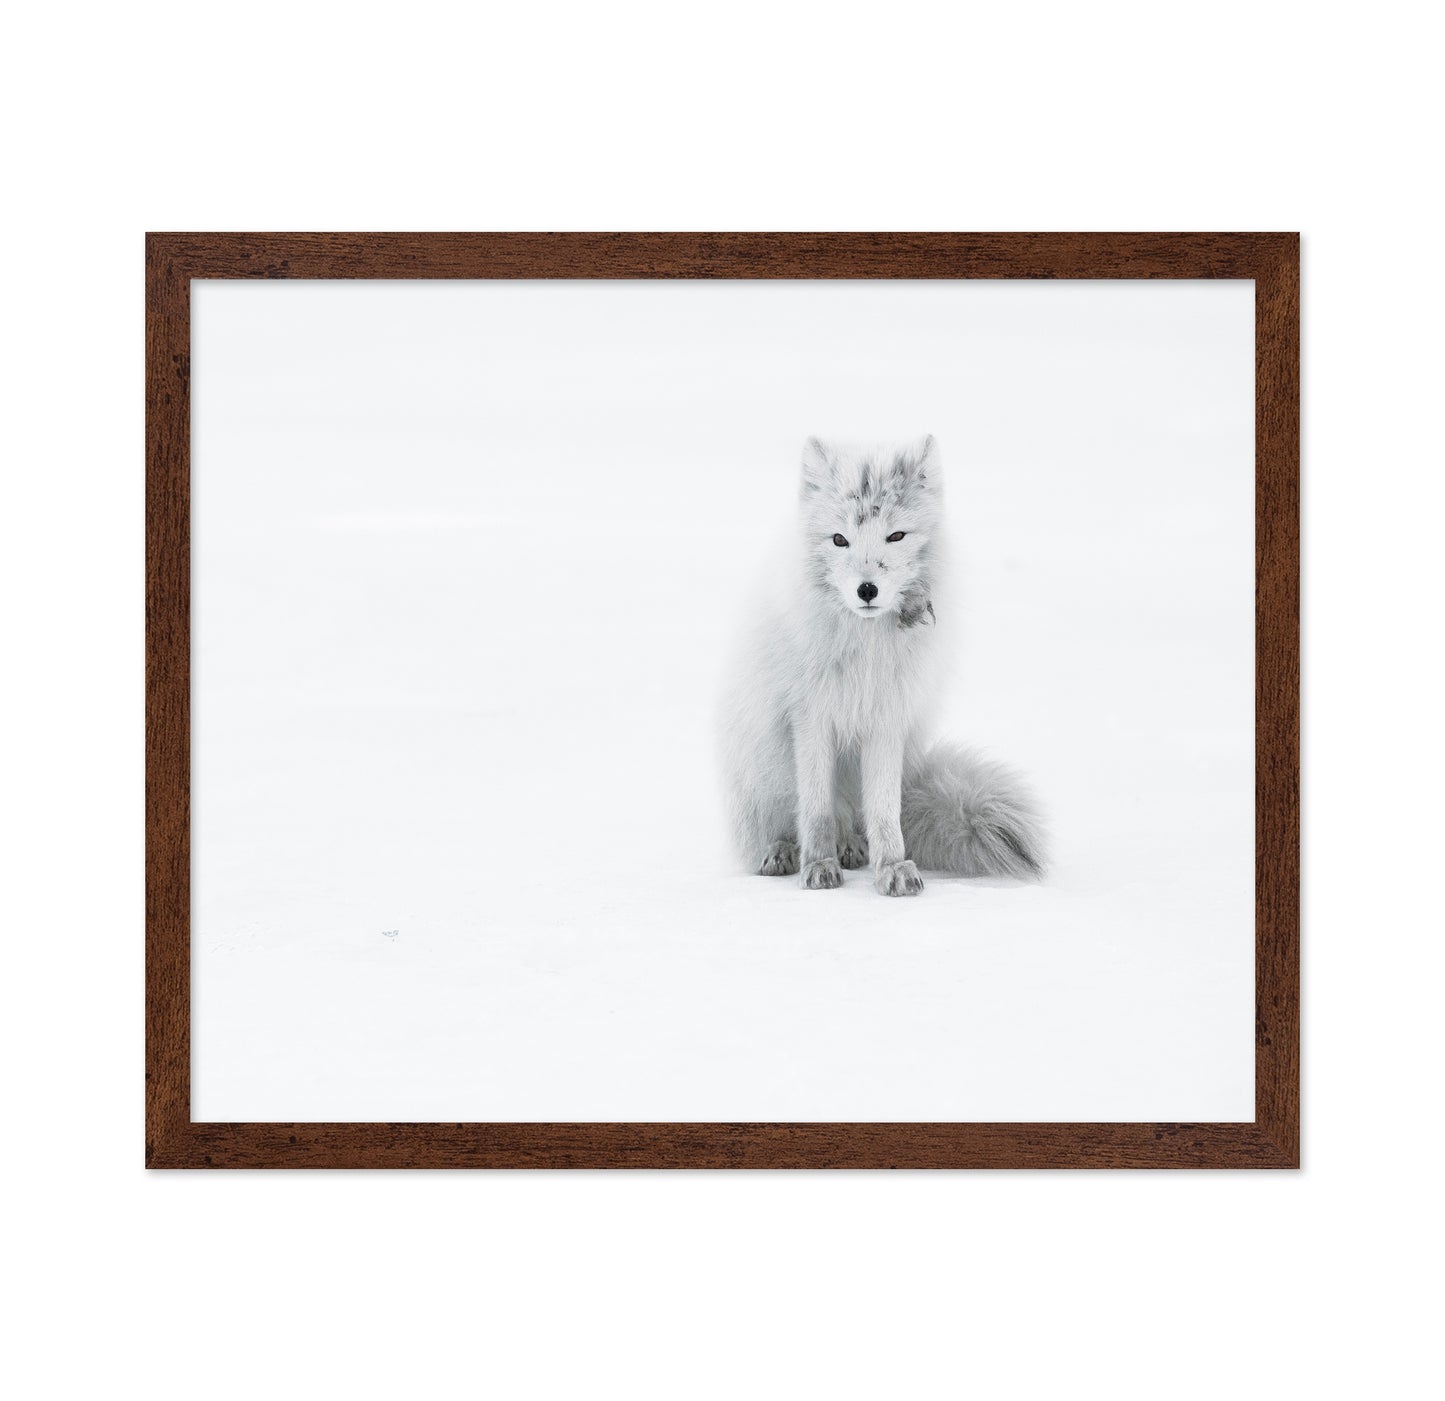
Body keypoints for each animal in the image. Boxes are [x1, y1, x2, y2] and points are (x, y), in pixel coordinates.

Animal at [721, 435, 1045, 897]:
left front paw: (892, 867)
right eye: (840, 540)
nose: (867, 590)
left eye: (896, 536)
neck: (865, 651)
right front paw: (817, 865)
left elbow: (885, 812)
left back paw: (852, 847)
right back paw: (783, 852)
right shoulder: (810, 718)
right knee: (786, 823)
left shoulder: (887, 719)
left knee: (856, 820)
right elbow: (815, 809)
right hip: (761, 770)